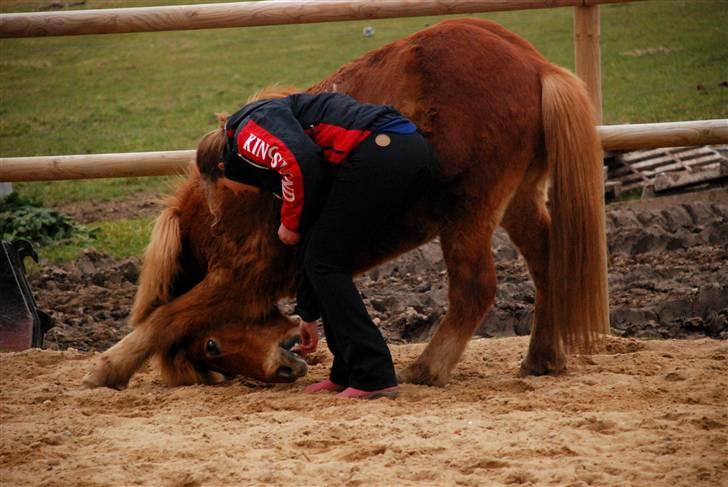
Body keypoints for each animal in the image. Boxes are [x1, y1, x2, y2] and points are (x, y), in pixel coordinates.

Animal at [82, 19, 608, 390]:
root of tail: (535, 65)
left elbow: (165, 318)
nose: (283, 370)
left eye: (212, 347)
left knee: (475, 288)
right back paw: (541, 357)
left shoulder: (237, 278)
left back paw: (427, 368)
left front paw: (108, 368)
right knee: (548, 263)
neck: (222, 210)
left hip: (467, 212)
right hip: (517, 202)